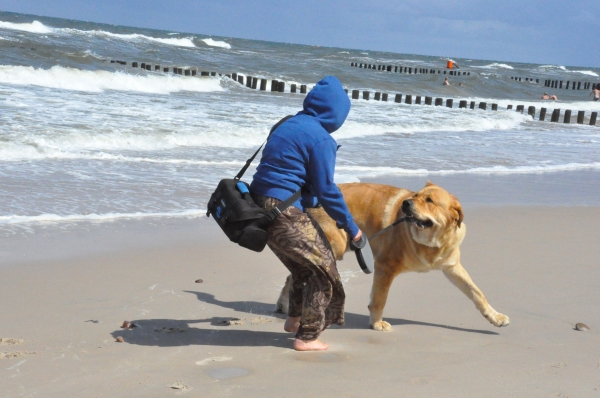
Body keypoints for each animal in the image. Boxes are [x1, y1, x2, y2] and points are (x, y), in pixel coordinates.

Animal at [274, 182, 508, 332]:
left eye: (429, 200)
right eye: (415, 195)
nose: (406, 203)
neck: (431, 242)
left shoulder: (453, 268)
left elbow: (477, 293)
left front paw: (495, 317)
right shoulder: (385, 266)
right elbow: (380, 299)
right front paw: (377, 323)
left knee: (294, 274)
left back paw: (284, 305)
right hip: (334, 246)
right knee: (299, 273)